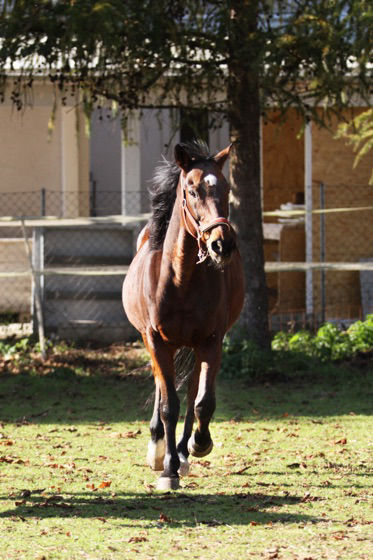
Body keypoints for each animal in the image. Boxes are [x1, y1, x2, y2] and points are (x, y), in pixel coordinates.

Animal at [122, 141, 244, 490]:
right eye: (191, 190)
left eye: (226, 188)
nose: (221, 244)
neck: (180, 280)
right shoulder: (156, 340)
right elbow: (168, 404)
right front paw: (167, 470)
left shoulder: (211, 341)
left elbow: (202, 401)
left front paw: (196, 446)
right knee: (163, 387)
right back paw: (158, 448)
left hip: (194, 346)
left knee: (190, 391)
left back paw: (184, 451)